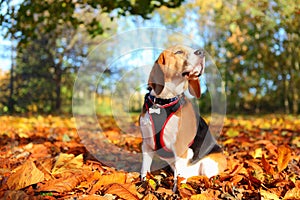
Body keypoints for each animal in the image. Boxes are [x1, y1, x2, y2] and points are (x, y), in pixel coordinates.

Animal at [139, 44, 226, 190]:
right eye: (179, 52)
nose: (202, 52)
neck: (163, 102)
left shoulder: (180, 148)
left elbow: (178, 180)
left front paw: (176, 192)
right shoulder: (147, 145)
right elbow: (144, 170)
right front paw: (142, 184)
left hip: (208, 164)